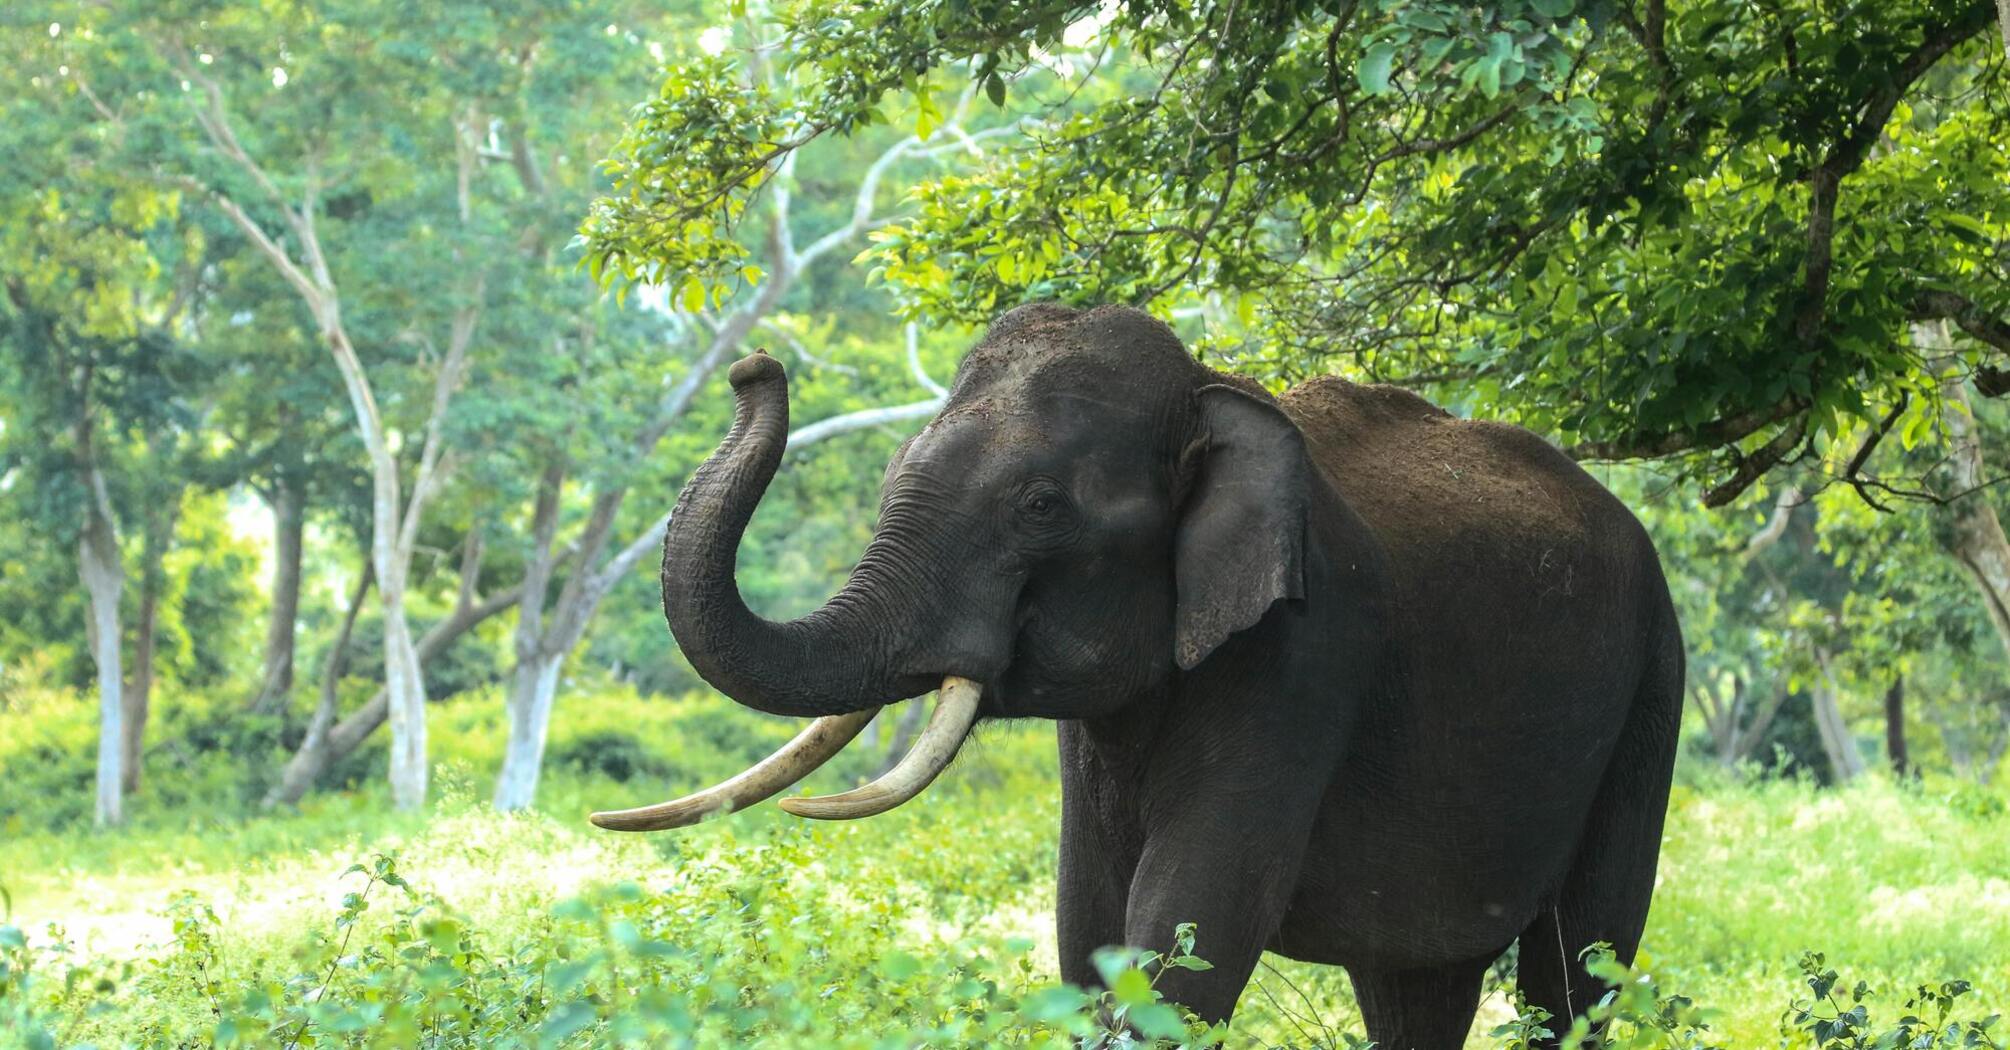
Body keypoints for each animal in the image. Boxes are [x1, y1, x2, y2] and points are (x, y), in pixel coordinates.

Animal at [590, 297, 1680, 1037]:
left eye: (1039, 507)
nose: (753, 365)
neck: (1211, 390)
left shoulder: (1305, 657)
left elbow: (1188, 934)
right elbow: (1090, 929)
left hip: (1650, 690)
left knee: (1579, 968)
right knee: (1417, 988)